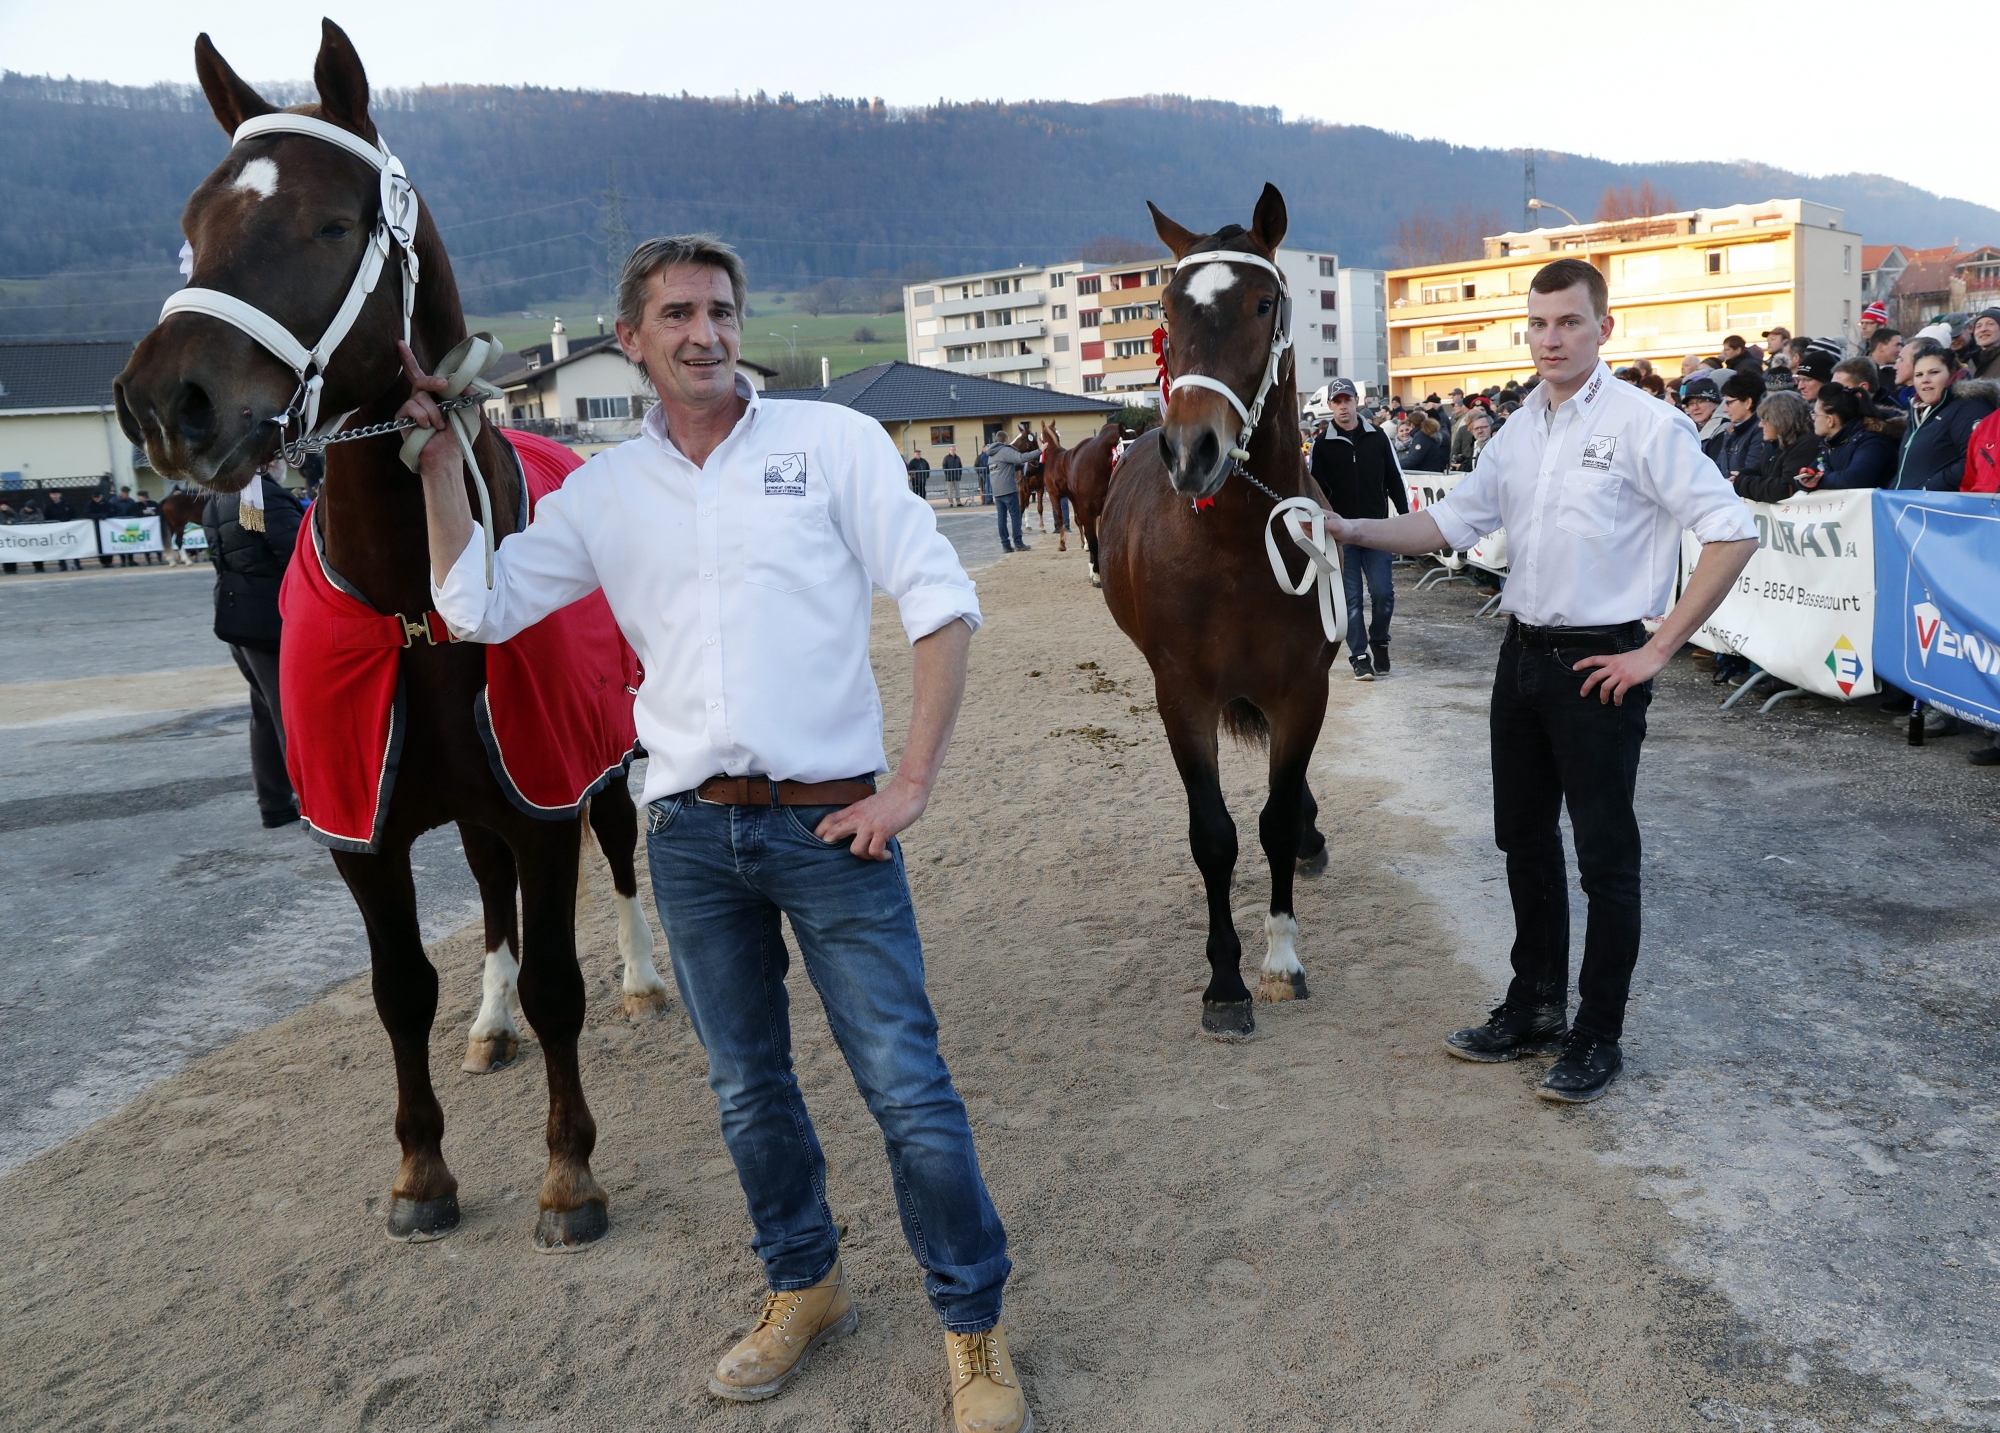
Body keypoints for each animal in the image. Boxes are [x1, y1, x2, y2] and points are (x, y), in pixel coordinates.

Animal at [115, 19, 664, 1256]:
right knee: (491, 899)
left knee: (618, 855)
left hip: (600, 762)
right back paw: (490, 1017)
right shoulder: (363, 830)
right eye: (191, 230)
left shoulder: (545, 789)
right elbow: (401, 986)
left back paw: (643, 975)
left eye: (329, 222)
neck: (420, 602)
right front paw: (421, 1166)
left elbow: (560, 975)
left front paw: (569, 1173)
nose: (168, 401)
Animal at [1104, 187, 1336, 1040]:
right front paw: (1226, 981)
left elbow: (1273, 821)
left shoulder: (1304, 691)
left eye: (1263, 303)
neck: (1235, 543)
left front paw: (1281, 958)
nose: (1189, 449)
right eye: (1166, 307)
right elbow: (1215, 834)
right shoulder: (1183, 696)